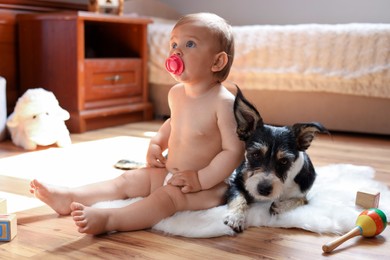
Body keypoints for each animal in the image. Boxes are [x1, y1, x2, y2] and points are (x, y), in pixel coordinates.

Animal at [222, 87, 330, 232]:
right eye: (255, 155)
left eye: (284, 161)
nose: (263, 189)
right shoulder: (236, 181)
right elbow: (239, 197)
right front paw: (236, 217)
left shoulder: (304, 195)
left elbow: (299, 200)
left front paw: (279, 206)